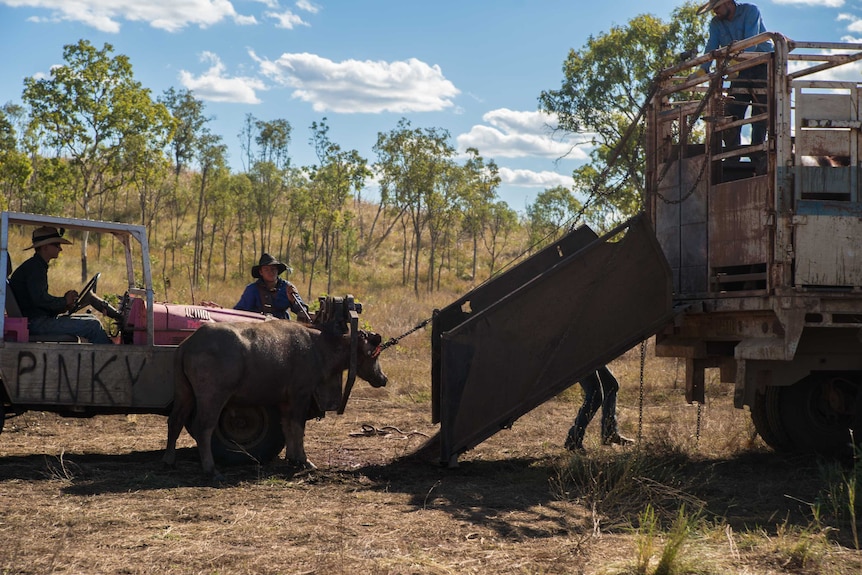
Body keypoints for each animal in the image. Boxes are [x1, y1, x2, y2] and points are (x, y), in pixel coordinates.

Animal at [164, 320, 386, 476]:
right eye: (375, 354)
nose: (383, 378)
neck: (318, 348)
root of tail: (187, 344)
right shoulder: (300, 395)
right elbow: (298, 428)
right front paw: (304, 460)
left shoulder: (285, 401)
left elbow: (287, 428)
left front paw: (293, 458)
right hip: (212, 397)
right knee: (203, 428)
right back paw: (210, 469)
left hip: (184, 393)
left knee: (174, 422)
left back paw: (170, 460)